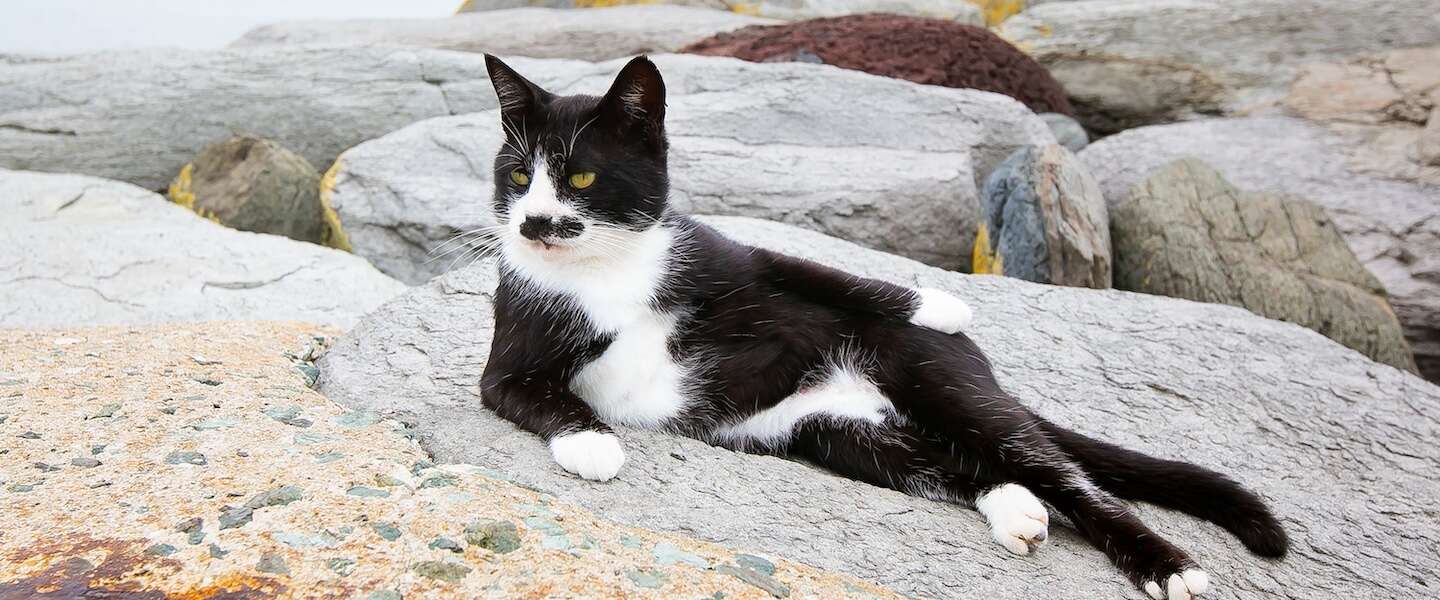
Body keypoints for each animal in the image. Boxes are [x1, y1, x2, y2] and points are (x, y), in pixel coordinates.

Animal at [478, 53, 1290, 595]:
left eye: (581, 176)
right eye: (517, 176)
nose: (535, 223)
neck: (607, 271)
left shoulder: (723, 253)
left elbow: (816, 270)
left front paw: (942, 302)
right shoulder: (515, 345)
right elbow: (533, 395)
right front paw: (593, 445)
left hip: (941, 382)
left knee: (1070, 480)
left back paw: (1167, 566)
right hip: (829, 430)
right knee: (957, 467)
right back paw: (1017, 512)